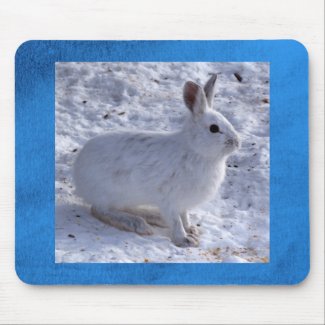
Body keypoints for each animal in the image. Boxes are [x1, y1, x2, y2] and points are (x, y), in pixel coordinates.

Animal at [74, 74, 240, 246]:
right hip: (110, 193)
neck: (194, 150)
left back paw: (154, 217)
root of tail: (77, 173)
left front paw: (191, 229)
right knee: (100, 210)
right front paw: (185, 240)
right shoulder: (169, 199)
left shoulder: (182, 203)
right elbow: (176, 221)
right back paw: (137, 224)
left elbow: (184, 217)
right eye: (214, 128)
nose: (237, 142)